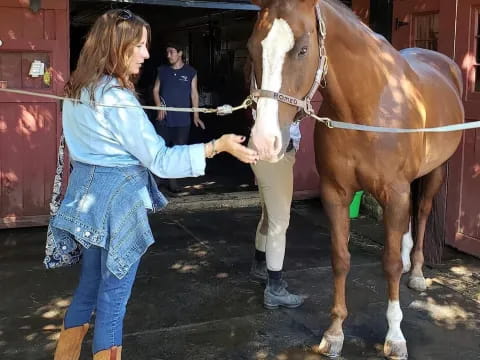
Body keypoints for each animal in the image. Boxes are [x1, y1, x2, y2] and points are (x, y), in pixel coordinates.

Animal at [246, 0, 464, 358]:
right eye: (252, 48)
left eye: (303, 49)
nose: (265, 142)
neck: (369, 107)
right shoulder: (335, 193)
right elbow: (340, 259)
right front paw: (334, 333)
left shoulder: (395, 192)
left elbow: (389, 263)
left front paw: (395, 337)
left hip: (436, 172)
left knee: (422, 212)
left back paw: (417, 271)